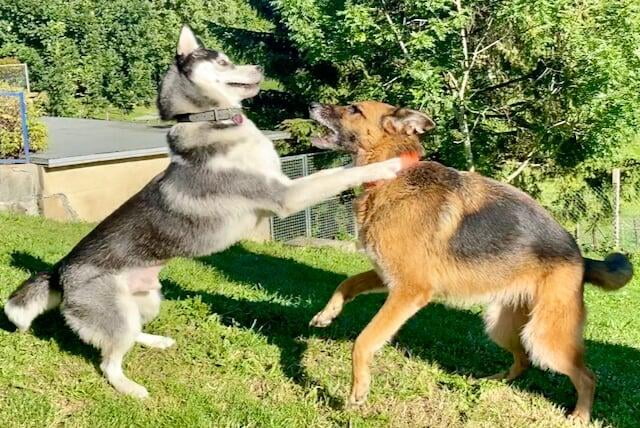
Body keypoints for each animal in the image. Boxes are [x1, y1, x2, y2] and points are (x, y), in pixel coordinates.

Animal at [3, 25, 404, 396]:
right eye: (223, 62)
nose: (260, 66)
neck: (212, 119)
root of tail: (60, 270)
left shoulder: (282, 185)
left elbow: (333, 174)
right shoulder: (283, 195)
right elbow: (337, 174)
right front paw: (388, 166)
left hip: (148, 299)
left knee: (131, 334)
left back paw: (155, 341)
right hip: (115, 312)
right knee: (109, 361)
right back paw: (130, 388)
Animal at [308, 100, 632, 422]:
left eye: (354, 109)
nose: (312, 105)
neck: (392, 174)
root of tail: (579, 257)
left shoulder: (409, 290)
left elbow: (363, 340)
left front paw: (358, 391)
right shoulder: (389, 278)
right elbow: (347, 282)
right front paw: (326, 313)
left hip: (545, 338)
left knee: (586, 376)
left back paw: (580, 415)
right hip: (501, 327)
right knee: (523, 360)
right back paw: (495, 382)